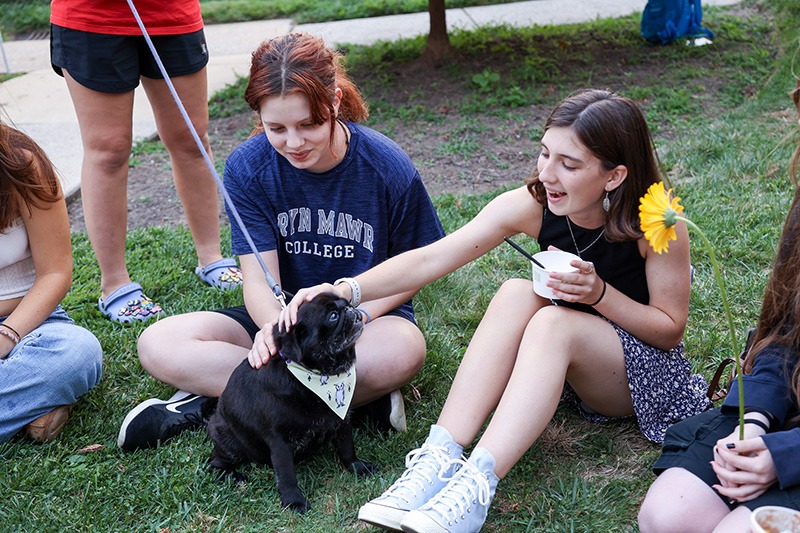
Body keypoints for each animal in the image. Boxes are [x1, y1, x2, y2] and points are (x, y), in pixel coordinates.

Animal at [205, 290, 376, 512]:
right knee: (215, 462)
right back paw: (233, 476)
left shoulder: (342, 420)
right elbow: (286, 475)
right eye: (332, 316)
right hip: (230, 442)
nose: (349, 309)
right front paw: (294, 501)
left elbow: (347, 449)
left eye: (347, 303)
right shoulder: (279, 442)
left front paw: (357, 467)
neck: (320, 376)